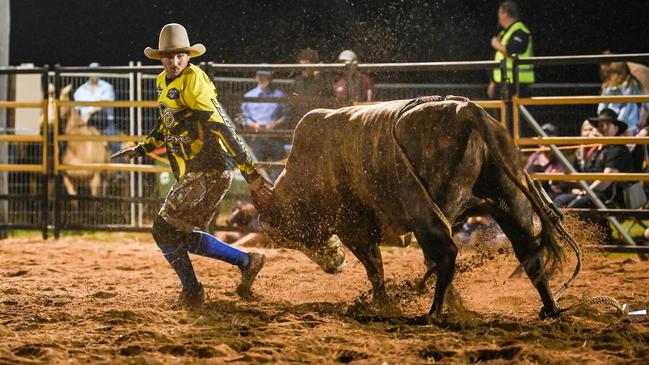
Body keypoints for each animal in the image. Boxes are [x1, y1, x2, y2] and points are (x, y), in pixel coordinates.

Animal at [256, 95, 564, 318]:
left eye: (289, 237)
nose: (333, 265)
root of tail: (469, 113)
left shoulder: (354, 230)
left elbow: (375, 268)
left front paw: (384, 304)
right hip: (511, 200)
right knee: (528, 251)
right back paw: (549, 309)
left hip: (426, 214)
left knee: (445, 256)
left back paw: (433, 312)